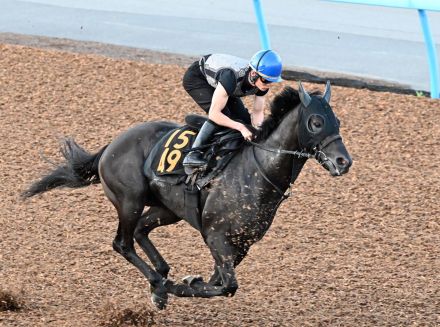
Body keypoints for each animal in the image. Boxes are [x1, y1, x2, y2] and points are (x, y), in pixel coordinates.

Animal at [24, 82, 354, 310]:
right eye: (315, 122)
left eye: (336, 121)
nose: (343, 162)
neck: (257, 171)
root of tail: (111, 146)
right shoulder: (216, 236)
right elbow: (227, 286)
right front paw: (176, 287)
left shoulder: (242, 244)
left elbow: (218, 281)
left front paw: (185, 281)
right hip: (129, 201)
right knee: (123, 243)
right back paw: (159, 284)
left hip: (167, 209)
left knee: (142, 231)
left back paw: (160, 275)